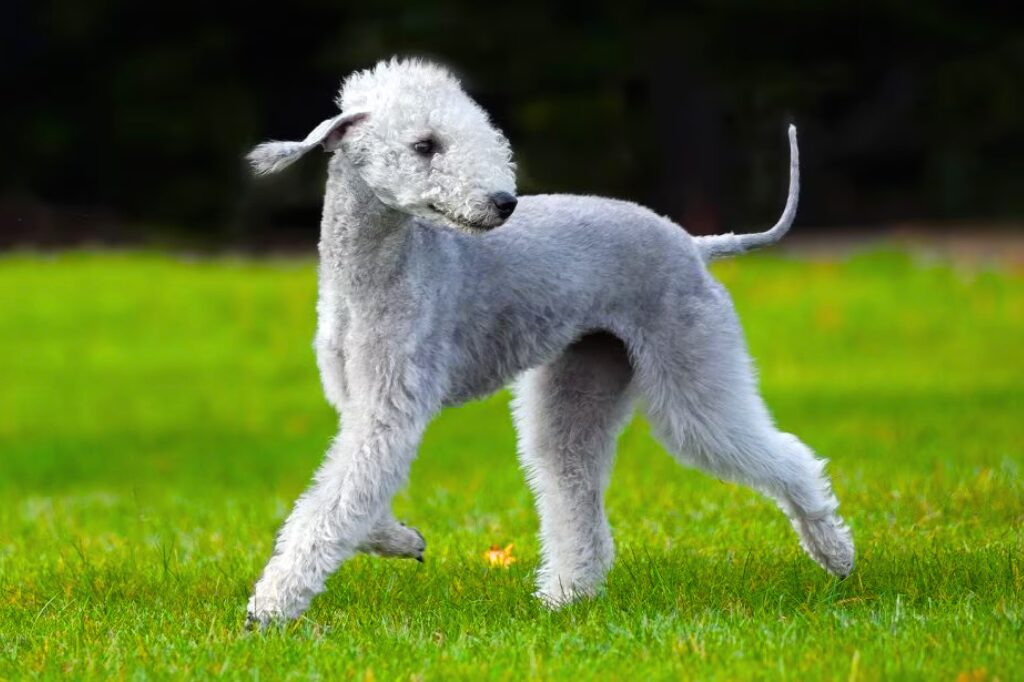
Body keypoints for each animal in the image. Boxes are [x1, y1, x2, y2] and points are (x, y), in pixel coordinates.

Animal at [243, 59, 851, 626]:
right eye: (424, 145)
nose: (503, 202)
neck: (377, 268)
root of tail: (693, 244)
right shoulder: (361, 406)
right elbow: (350, 495)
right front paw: (401, 539)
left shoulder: (389, 408)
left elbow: (334, 502)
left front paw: (270, 607)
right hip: (583, 378)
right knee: (576, 490)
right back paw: (565, 598)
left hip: (691, 373)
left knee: (785, 454)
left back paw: (836, 552)